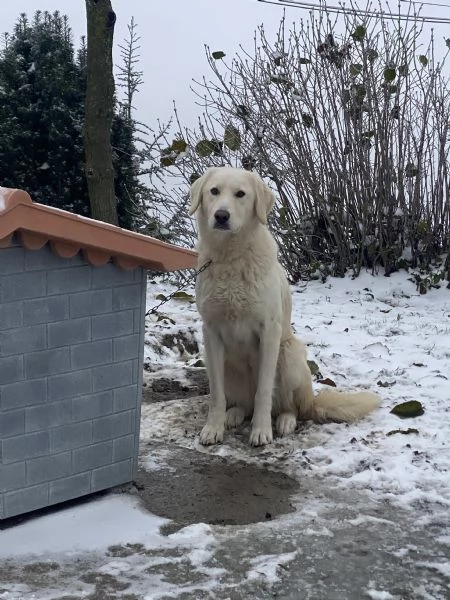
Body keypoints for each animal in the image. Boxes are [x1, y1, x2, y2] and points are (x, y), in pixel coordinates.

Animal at [190, 166, 380, 448]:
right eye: (214, 191)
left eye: (240, 194)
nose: (221, 216)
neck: (230, 257)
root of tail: (312, 402)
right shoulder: (210, 332)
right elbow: (216, 394)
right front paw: (214, 428)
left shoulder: (269, 332)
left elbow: (263, 391)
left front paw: (261, 431)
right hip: (227, 364)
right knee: (243, 403)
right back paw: (233, 414)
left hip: (289, 354)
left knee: (289, 407)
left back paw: (284, 421)